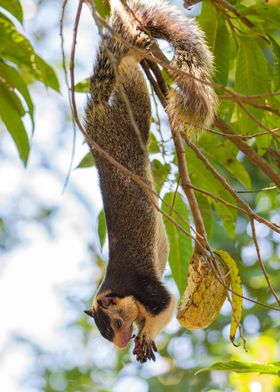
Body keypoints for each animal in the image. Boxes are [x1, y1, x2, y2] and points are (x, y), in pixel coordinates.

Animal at [84, 0, 218, 362]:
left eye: (116, 323)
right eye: (104, 334)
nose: (119, 343)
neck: (118, 290)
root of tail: (96, 116)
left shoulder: (147, 289)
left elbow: (166, 306)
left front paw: (145, 336)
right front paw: (144, 339)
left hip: (131, 111)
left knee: (129, 78)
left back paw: (134, 52)